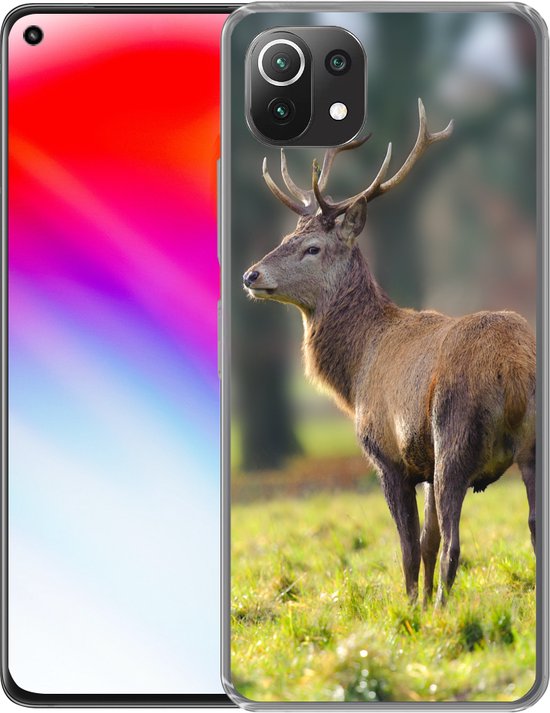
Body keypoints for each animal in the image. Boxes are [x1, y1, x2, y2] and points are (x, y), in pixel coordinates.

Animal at [242, 99, 536, 607]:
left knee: (456, 544)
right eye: (285, 238)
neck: (357, 369)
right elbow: (426, 540)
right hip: (525, 446)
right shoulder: (424, 462)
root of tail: (514, 371)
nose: (251, 275)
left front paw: (411, 608)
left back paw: (440, 612)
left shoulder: (388, 455)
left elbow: (409, 547)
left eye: (312, 248)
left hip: (454, 434)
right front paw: (416, 604)